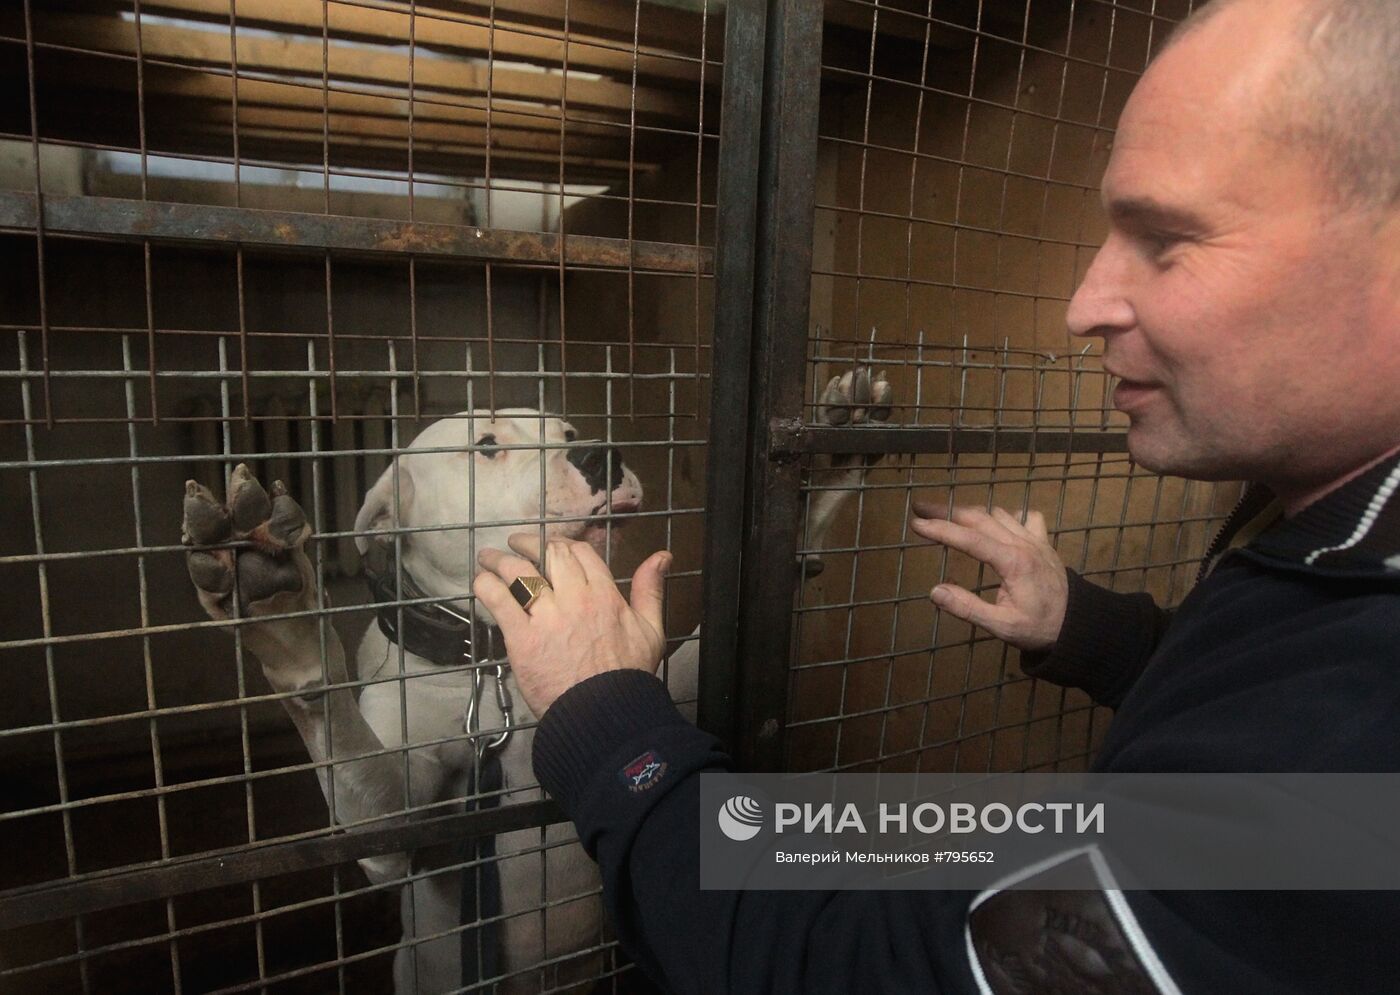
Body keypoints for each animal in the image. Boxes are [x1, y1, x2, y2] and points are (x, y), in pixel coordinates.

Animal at [180, 372, 890, 990]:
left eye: (568, 429)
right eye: (487, 446)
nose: (601, 453)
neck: (494, 660)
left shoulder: (674, 688)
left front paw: (824, 462)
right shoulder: (391, 829)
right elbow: (359, 771)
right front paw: (280, 612)